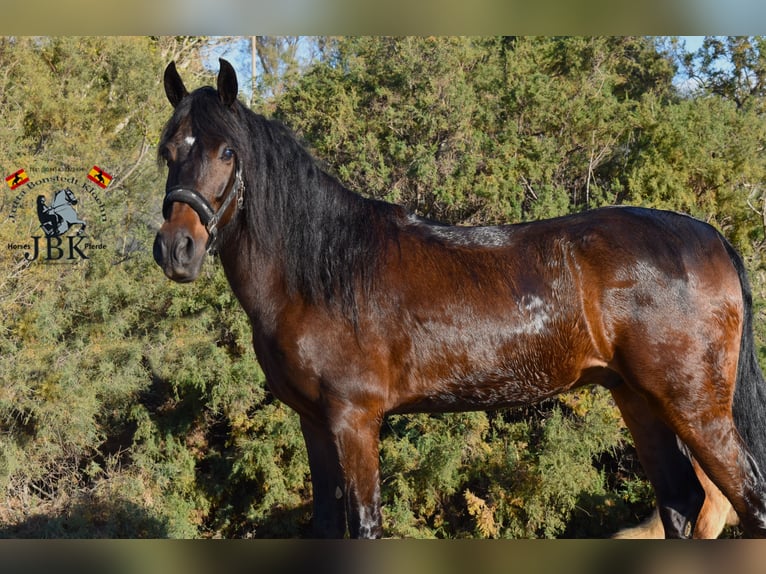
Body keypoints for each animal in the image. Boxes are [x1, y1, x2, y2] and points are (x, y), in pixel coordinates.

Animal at [153, 59, 766, 540]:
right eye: (168, 150)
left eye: (227, 152)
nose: (176, 248)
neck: (321, 269)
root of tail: (710, 238)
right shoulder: (314, 423)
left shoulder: (355, 420)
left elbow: (364, 525)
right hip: (638, 398)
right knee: (683, 504)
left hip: (695, 407)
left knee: (748, 501)